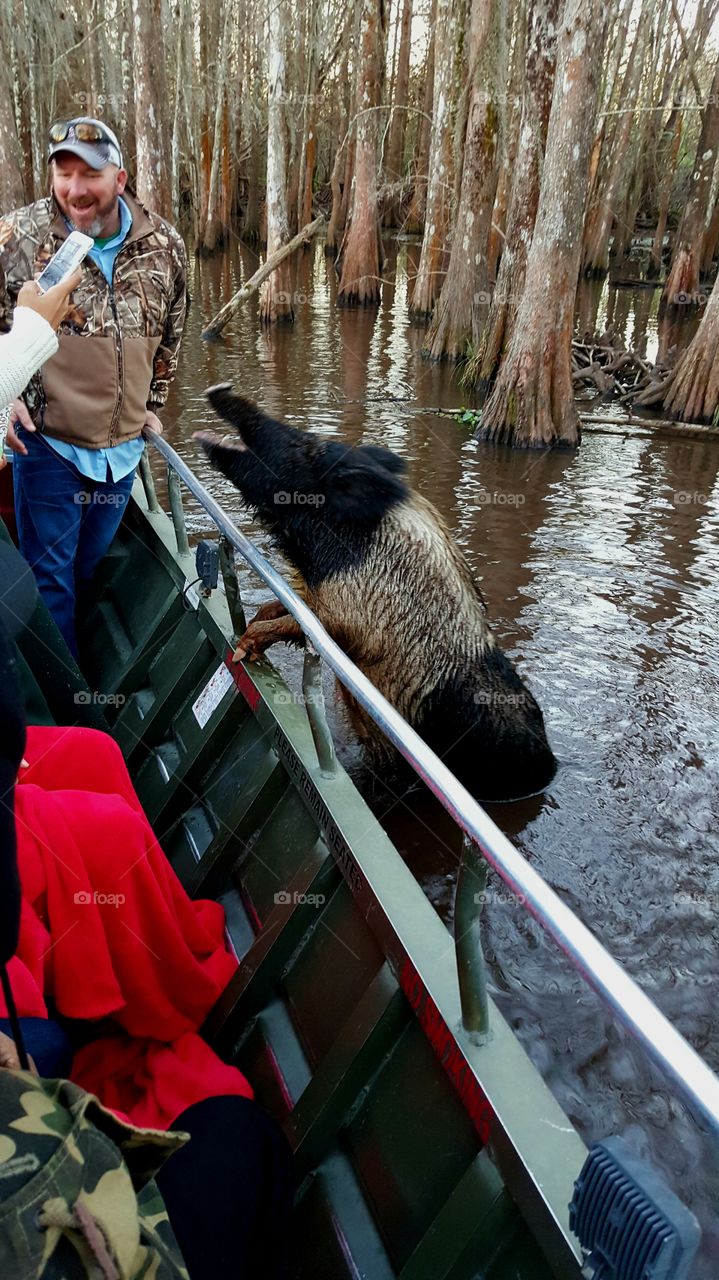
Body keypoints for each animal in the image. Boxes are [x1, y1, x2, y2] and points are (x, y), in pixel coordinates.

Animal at [194, 384, 557, 802]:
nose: (221, 389)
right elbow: (282, 608)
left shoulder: (352, 618)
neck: (336, 551)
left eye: (306, 447)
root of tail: (550, 769)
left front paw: (243, 647)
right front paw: (252, 626)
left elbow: (304, 625)